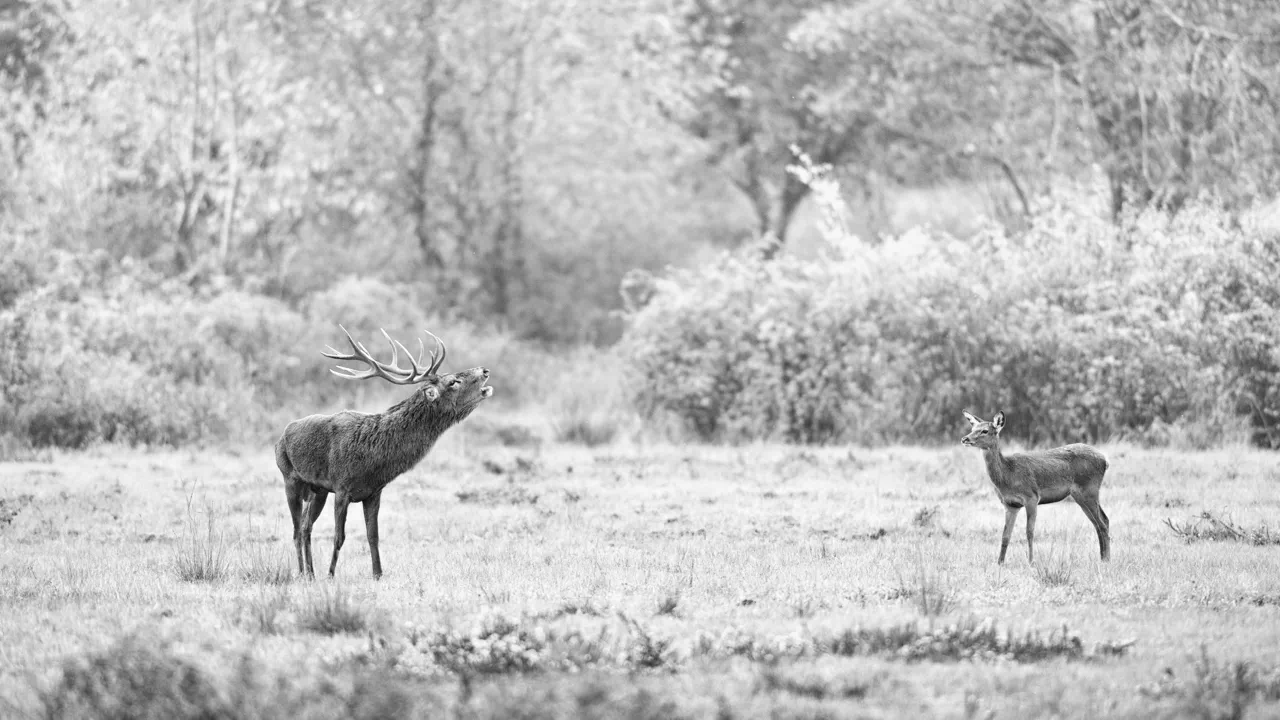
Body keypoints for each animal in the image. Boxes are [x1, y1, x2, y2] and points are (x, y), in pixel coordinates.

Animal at [275, 326, 493, 579]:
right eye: (453, 382)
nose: (485, 370)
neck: (372, 458)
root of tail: (281, 436)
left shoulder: (373, 492)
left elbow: (373, 537)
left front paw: (378, 575)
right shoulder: (342, 488)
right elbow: (339, 537)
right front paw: (330, 575)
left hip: (317, 490)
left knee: (305, 526)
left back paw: (310, 573)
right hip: (290, 479)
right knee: (296, 529)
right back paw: (302, 572)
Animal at [960, 411, 1110, 565]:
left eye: (985, 430)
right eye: (972, 428)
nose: (965, 439)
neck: (1008, 475)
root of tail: (1105, 460)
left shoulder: (1032, 497)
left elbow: (1029, 532)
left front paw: (1031, 561)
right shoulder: (1010, 505)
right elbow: (1005, 535)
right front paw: (1000, 563)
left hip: (1089, 490)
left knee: (1102, 523)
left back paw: (1106, 560)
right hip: (1080, 495)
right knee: (1100, 521)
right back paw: (1103, 558)